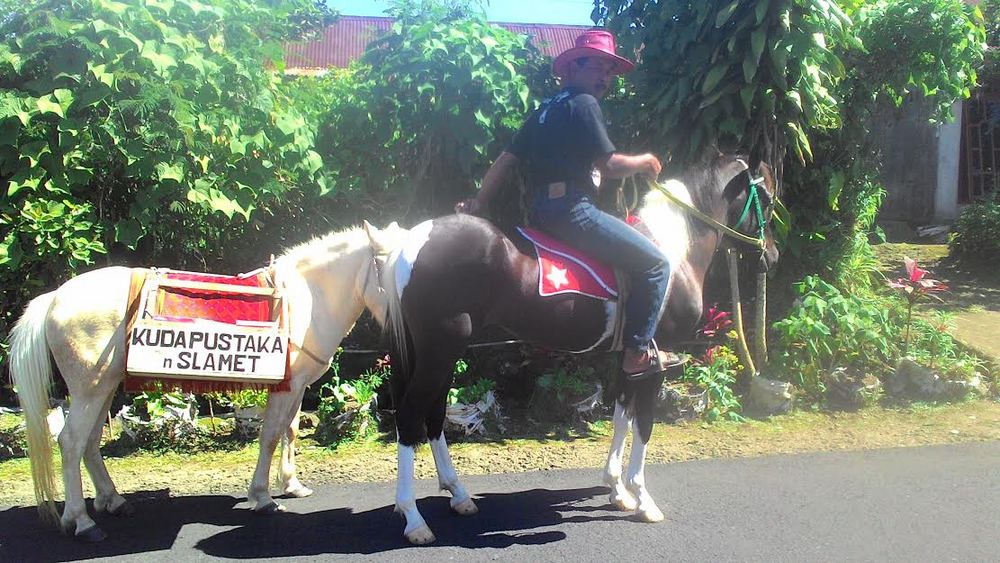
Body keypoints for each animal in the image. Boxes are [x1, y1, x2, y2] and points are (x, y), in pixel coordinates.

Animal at [7, 220, 406, 540]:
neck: (306, 299)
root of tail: (56, 298)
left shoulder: (296, 387)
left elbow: (290, 432)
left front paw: (291, 485)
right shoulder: (286, 389)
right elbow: (270, 436)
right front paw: (262, 497)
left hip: (103, 387)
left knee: (89, 443)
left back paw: (113, 500)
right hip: (89, 390)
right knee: (71, 442)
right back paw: (82, 521)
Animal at [372, 152, 776, 544]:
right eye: (768, 199)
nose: (771, 255)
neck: (673, 253)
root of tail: (412, 242)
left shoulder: (629, 358)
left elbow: (622, 417)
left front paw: (617, 490)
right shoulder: (656, 361)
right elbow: (644, 424)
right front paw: (643, 500)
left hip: (437, 352)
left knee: (434, 415)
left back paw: (458, 496)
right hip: (439, 351)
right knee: (410, 416)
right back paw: (414, 519)